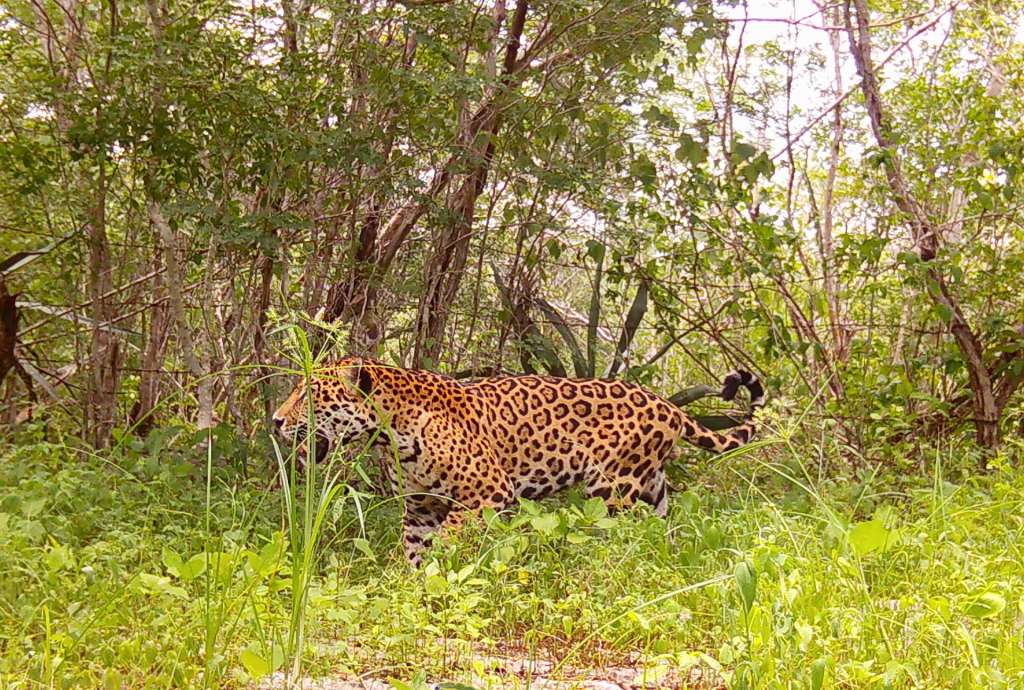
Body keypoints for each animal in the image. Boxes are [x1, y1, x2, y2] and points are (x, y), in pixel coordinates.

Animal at [272, 357, 764, 565]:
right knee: (658, 533)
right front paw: (413, 588)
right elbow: (414, 550)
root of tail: (669, 405)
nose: (275, 421)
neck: (388, 431)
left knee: (615, 537)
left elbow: (450, 536)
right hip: (651, 487)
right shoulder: (420, 507)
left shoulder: (489, 493)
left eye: (310, 394)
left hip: (611, 489)